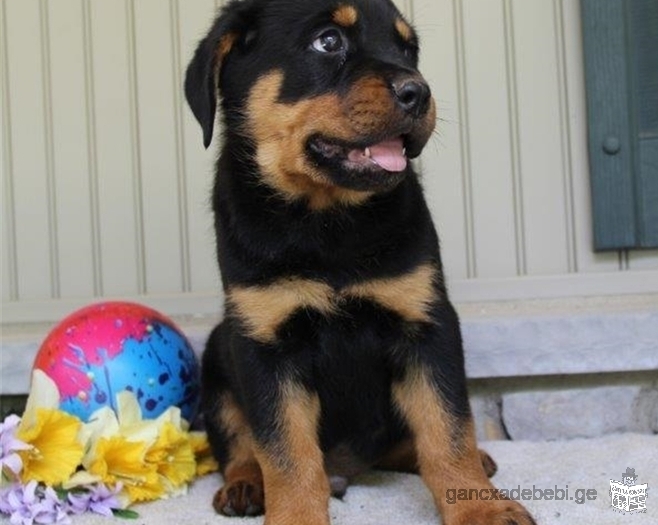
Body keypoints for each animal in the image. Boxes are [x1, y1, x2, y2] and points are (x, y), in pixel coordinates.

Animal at [183, 1, 532, 524]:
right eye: (328, 41)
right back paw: (245, 485)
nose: (419, 92)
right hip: (218, 358)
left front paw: (479, 507)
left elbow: (448, 429)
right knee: (238, 444)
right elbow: (285, 453)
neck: (326, 219)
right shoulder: (265, 341)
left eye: (408, 50)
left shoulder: (426, 324)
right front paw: (295, 515)